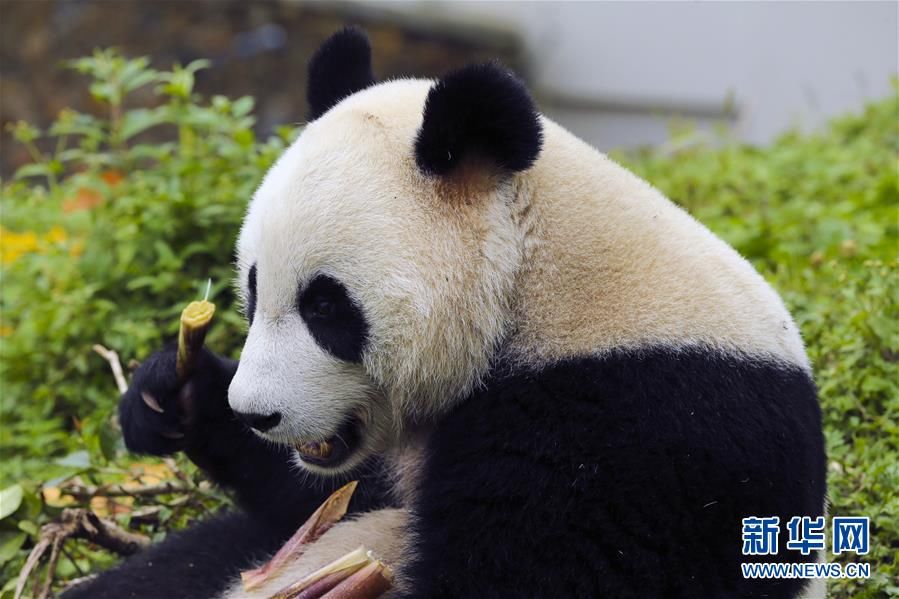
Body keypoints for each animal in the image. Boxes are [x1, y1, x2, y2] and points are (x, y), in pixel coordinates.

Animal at [65, 28, 828, 599]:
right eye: (252, 293)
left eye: (325, 307)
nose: (258, 413)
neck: (538, 282)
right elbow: (328, 494)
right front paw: (171, 393)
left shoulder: (639, 423)